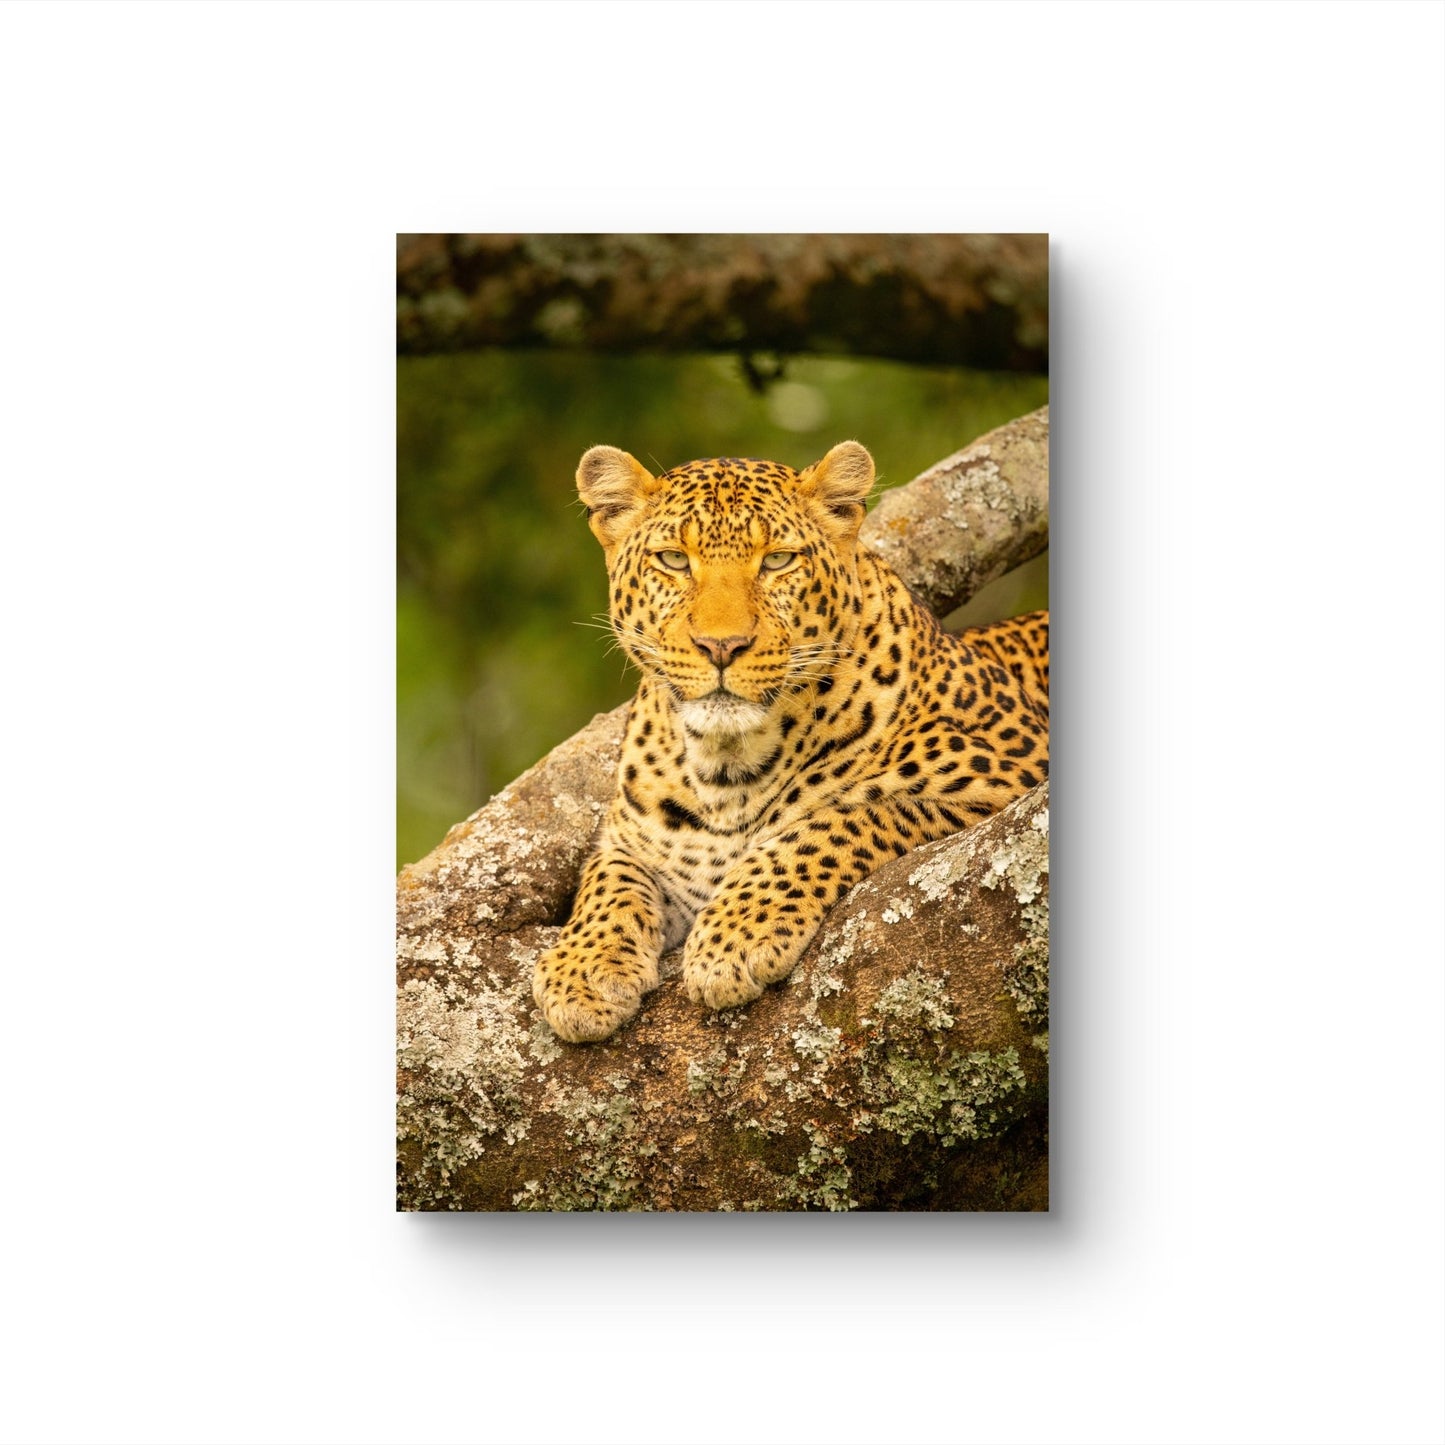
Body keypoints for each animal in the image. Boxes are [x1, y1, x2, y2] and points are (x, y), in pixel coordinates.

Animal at [532, 440, 1049, 1043]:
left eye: (777, 560)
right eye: (674, 560)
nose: (722, 646)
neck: (726, 766)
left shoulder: (1009, 770)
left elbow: (836, 820)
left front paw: (735, 935)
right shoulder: (632, 838)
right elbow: (607, 879)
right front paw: (582, 969)